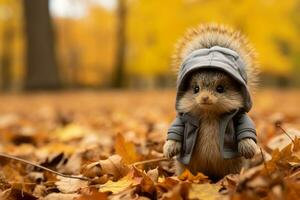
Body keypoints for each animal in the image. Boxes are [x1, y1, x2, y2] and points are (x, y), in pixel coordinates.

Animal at [163, 23, 258, 180]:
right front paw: (169, 148)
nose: (205, 98)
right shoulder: (182, 118)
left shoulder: (239, 116)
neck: (209, 114)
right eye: (195, 89)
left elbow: (245, 128)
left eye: (220, 88)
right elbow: (176, 129)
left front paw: (249, 147)